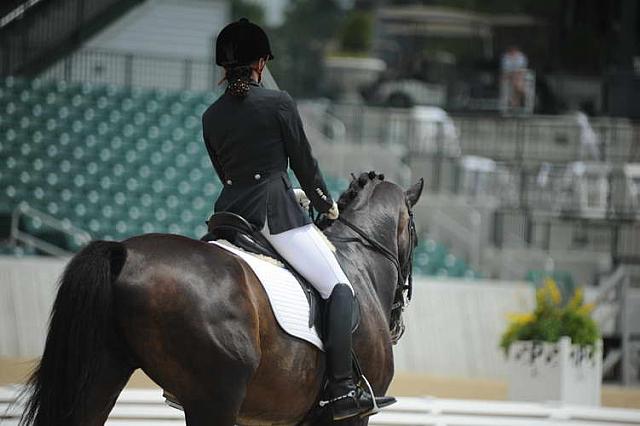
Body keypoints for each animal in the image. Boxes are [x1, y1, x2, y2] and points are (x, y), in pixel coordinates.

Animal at [17, 171, 422, 424]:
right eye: (415, 237)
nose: (397, 323)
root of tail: (124, 253)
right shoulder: (351, 419)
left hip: (102, 372)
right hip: (214, 397)